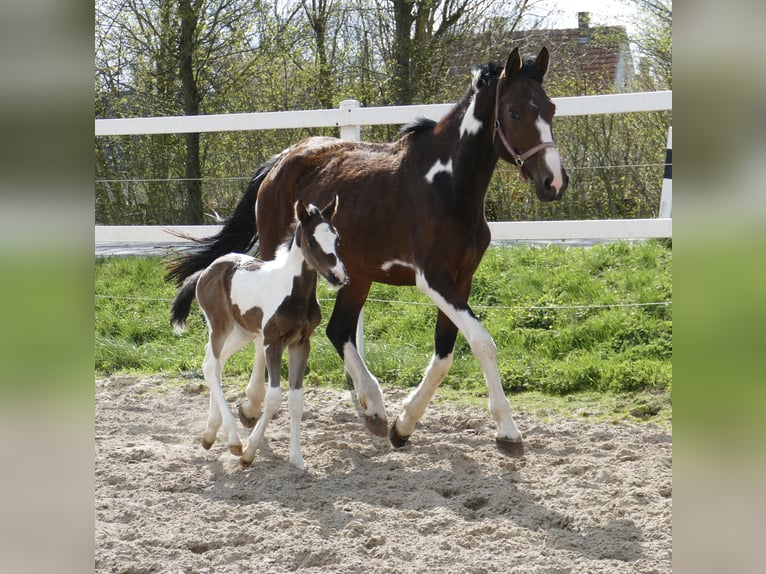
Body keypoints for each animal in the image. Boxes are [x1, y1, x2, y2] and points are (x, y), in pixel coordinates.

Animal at [172, 200, 348, 470]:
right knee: (211, 365)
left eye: (337, 238)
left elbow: (296, 400)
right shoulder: (273, 342)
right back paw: (234, 441)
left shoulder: (301, 343)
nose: (338, 276)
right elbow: (274, 397)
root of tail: (207, 270)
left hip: (241, 332)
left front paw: (297, 459)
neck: (294, 293)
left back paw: (211, 433)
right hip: (219, 326)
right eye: (311, 241)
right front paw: (249, 452)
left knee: (214, 362)